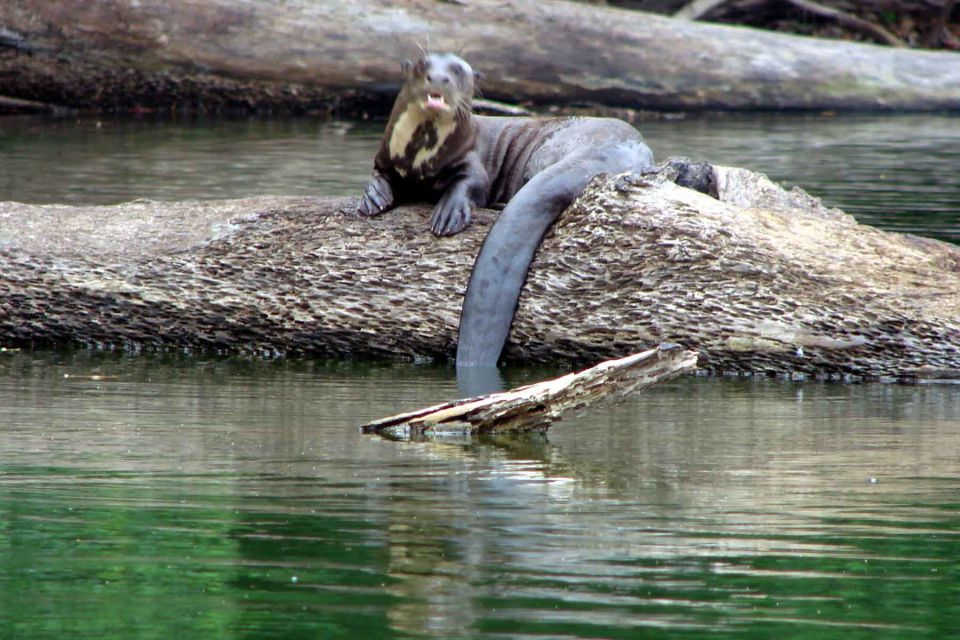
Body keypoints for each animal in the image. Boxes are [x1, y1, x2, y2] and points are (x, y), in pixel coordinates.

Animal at [356, 52, 656, 368]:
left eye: (458, 70)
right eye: (423, 64)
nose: (438, 78)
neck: (419, 155)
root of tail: (604, 152)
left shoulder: (472, 158)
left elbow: (472, 182)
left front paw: (449, 213)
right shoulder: (385, 153)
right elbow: (379, 172)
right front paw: (373, 198)